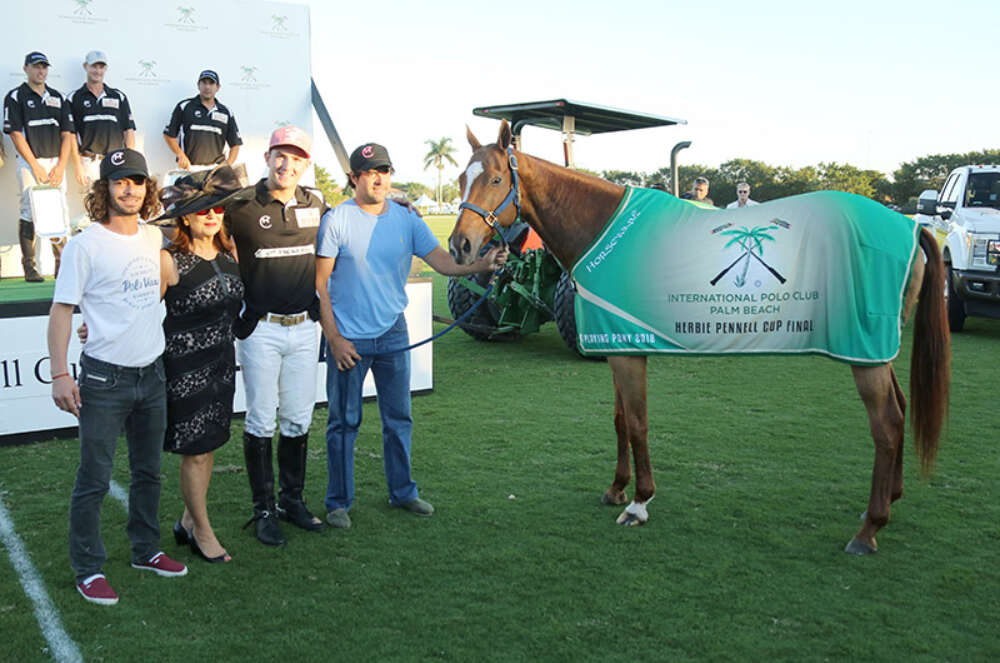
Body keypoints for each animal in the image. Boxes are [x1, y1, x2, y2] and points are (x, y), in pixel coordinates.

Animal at [450, 120, 948, 556]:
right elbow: (619, 420)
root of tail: (911, 226)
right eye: (459, 179)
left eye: (496, 178)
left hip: (865, 352)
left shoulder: (628, 353)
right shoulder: (616, 343)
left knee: (887, 424)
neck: (601, 226)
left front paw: (639, 502)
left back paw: (869, 528)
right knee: (901, 408)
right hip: (875, 349)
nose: (460, 246)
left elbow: (637, 422)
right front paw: (616, 489)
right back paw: (889, 502)